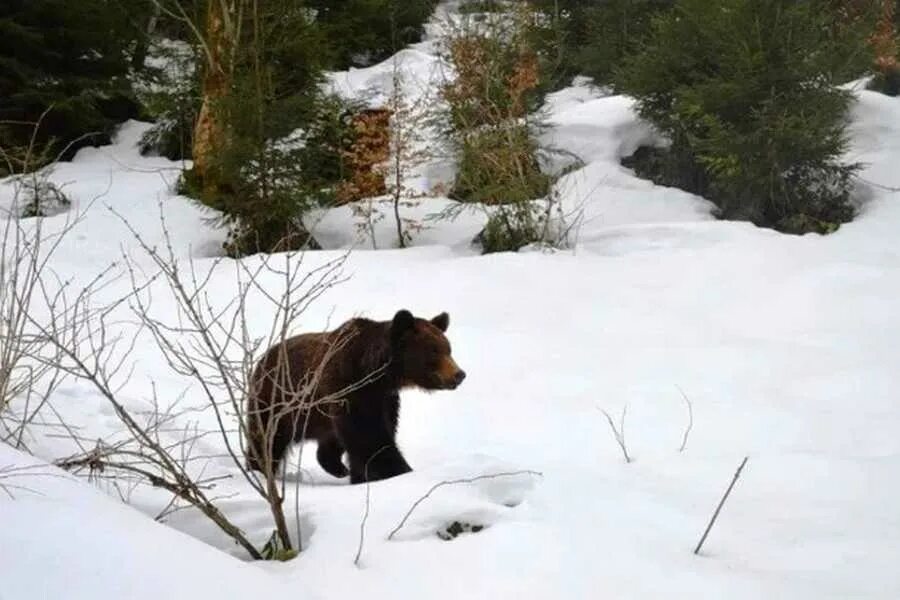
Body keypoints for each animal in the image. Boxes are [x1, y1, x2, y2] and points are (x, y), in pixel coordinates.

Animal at [243, 310, 464, 482]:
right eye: (433, 351)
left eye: (448, 349)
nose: (459, 374)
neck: (377, 374)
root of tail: (264, 357)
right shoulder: (349, 388)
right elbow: (370, 437)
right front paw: (397, 471)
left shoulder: (385, 399)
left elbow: (377, 432)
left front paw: (361, 476)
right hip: (277, 401)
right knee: (267, 439)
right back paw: (259, 471)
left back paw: (339, 468)